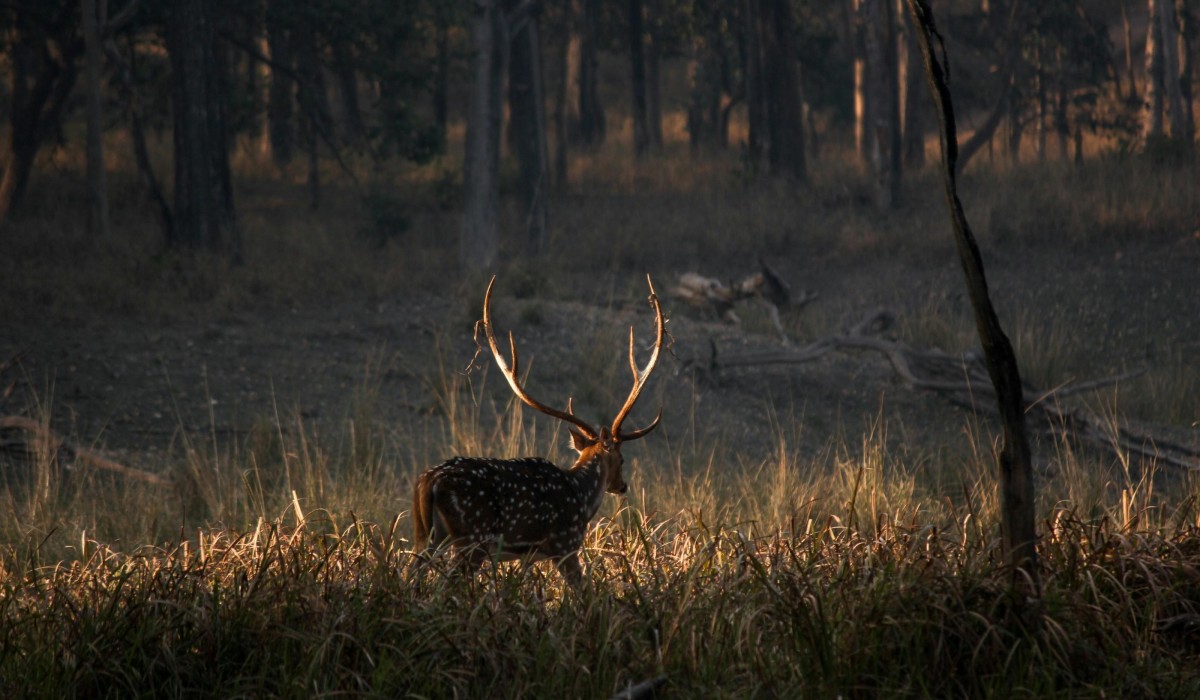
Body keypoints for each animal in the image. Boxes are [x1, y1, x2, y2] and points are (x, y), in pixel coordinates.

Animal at [412, 276, 667, 583]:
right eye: (622, 458)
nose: (622, 485)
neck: (581, 497)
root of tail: (429, 482)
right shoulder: (565, 544)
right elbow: (582, 587)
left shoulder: (529, 556)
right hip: (472, 538)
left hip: (425, 535)